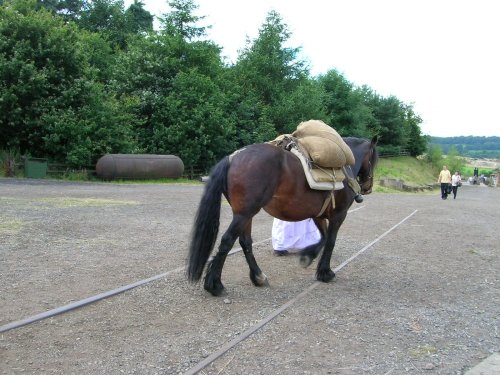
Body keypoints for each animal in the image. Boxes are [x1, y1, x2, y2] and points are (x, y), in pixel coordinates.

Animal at [189, 136, 376, 296]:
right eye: (373, 160)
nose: (367, 187)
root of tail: (232, 157)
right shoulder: (339, 215)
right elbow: (330, 241)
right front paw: (325, 272)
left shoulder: (318, 215)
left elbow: (322, 238)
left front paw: (308, 256)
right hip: (244, 214)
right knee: (227, 241)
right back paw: (215, 285)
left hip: (245, 214)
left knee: (245, 242)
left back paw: (258, 277)